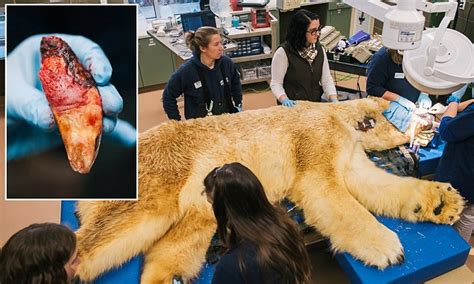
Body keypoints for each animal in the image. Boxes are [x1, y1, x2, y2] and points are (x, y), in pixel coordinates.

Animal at [74, 97, 462, 282]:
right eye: (407, 115)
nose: (428, 127)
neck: (337, 116)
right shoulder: (313, 142)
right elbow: (327, 191)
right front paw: (387, 247)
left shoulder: (350, 154)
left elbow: (375, 183)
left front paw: (444, 202)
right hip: (161, 177)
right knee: (109, 231)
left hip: (200, 205)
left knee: (178, 244)